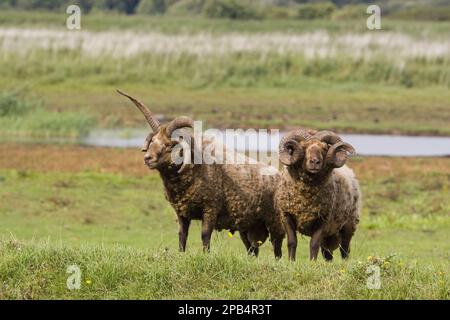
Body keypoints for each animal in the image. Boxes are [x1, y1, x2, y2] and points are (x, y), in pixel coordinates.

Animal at [118, 89, 284, 258]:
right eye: (153, 141)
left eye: (169, 145)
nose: (147, 158)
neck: (196, 169)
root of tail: (279, 175)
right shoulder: (181, 212)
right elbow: (182, 235)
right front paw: (181, 255)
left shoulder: (210, 208)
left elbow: (205, 235)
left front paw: (206, 255)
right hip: (247, 226)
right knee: (252, 250)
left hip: (275, 222)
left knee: (277, 248)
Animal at [272, 129, 360, 262]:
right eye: (303, 147)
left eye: (325, 148)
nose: (315, 162)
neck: (305, 200)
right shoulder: (286, 215)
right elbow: (292, 242)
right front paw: (291, 261)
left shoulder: (323, 219)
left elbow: (314, 243)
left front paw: (312, 262)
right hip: (330, 234)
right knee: (327, 252)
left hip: (348, 225)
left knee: (345, 248)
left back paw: (345, 261)